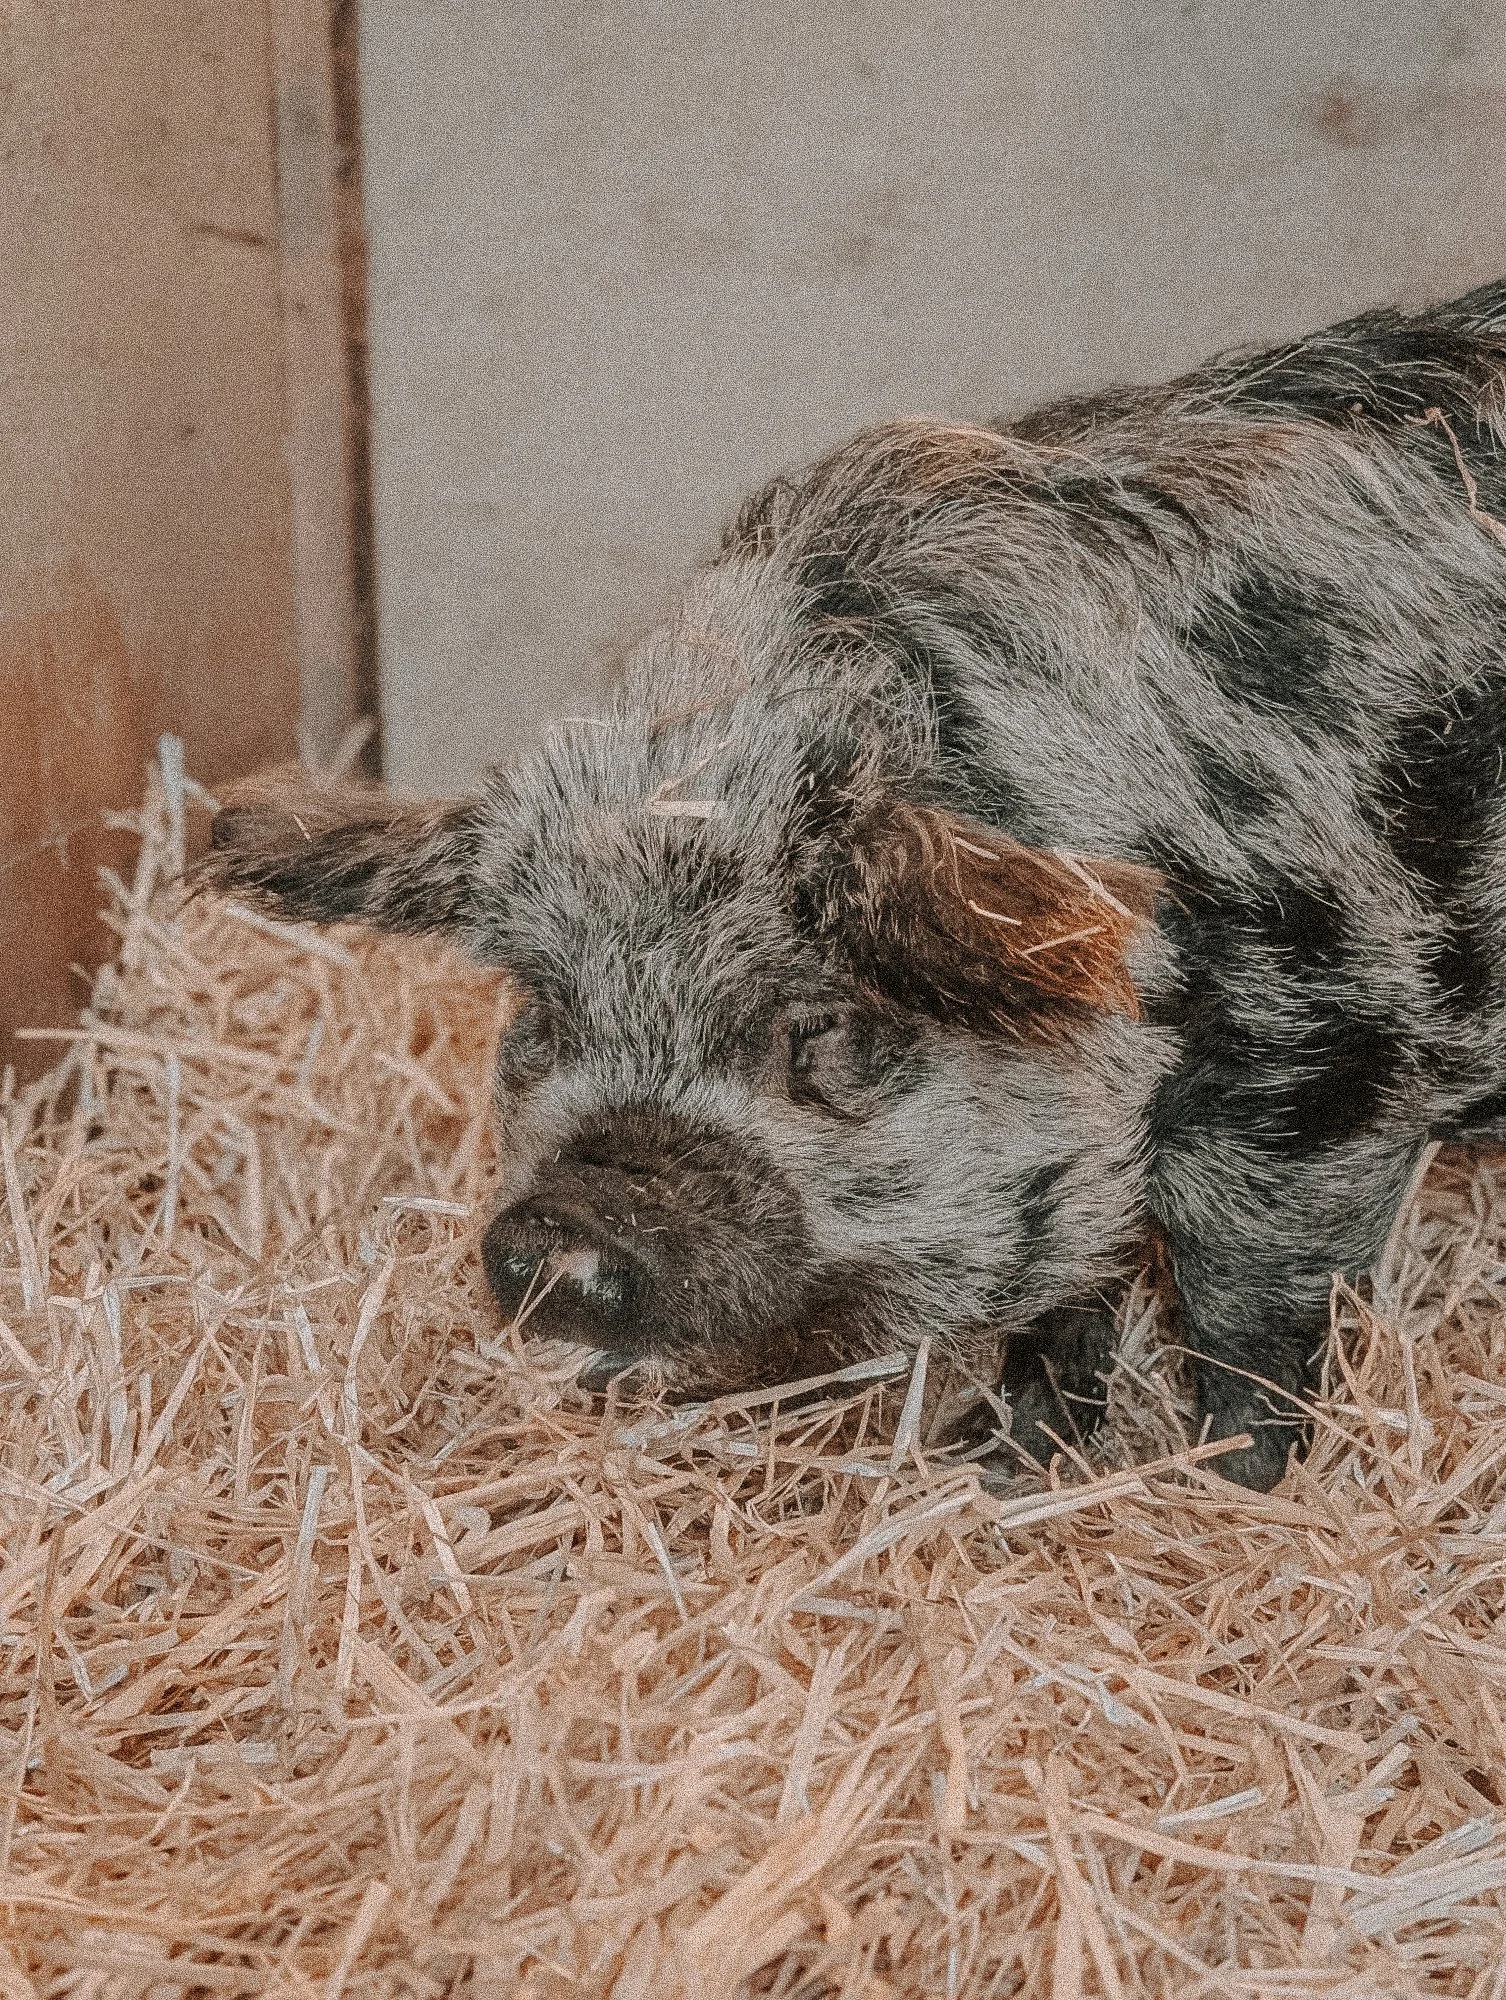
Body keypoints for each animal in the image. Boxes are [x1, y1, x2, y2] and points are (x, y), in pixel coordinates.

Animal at [202, 279, 1506, 1490]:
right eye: (543, 1013)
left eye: (822, 1027)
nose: (559, 1233)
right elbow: (1063, 1307)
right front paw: (997, 1468)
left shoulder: (1328, 1068)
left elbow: (1246, 1314)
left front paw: (1225, 1486)